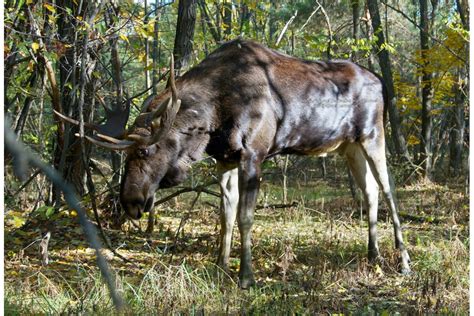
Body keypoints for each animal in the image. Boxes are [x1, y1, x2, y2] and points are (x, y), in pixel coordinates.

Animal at [55, 38, 412, 288]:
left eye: (144, 152)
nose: (130, 202)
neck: (212, 118)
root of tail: (382, 83)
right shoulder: (225, 159)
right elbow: (225, 217)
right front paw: (220, 265)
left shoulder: (254, 153)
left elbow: (245, 218)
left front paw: (246, 275)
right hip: (348, 147)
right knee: (370, 193)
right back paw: (373, 255)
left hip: (373, 135)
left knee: (389, 190)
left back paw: (403, 261)